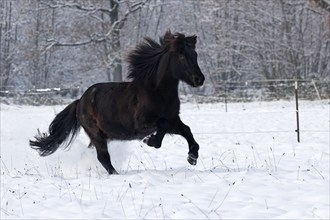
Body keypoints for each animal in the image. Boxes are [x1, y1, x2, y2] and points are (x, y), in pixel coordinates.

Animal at [30, 30, 204, 174]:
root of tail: (80, 101)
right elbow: (162, 126)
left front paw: (192, 157)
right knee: (103, 157)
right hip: (96, 134)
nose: (199, 79)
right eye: (181, 55)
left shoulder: (173, 119)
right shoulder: (143, 124)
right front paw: (149, 140)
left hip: (101, 136)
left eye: (195, 55)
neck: (157, 92)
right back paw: (115, 174)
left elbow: (186, 130)